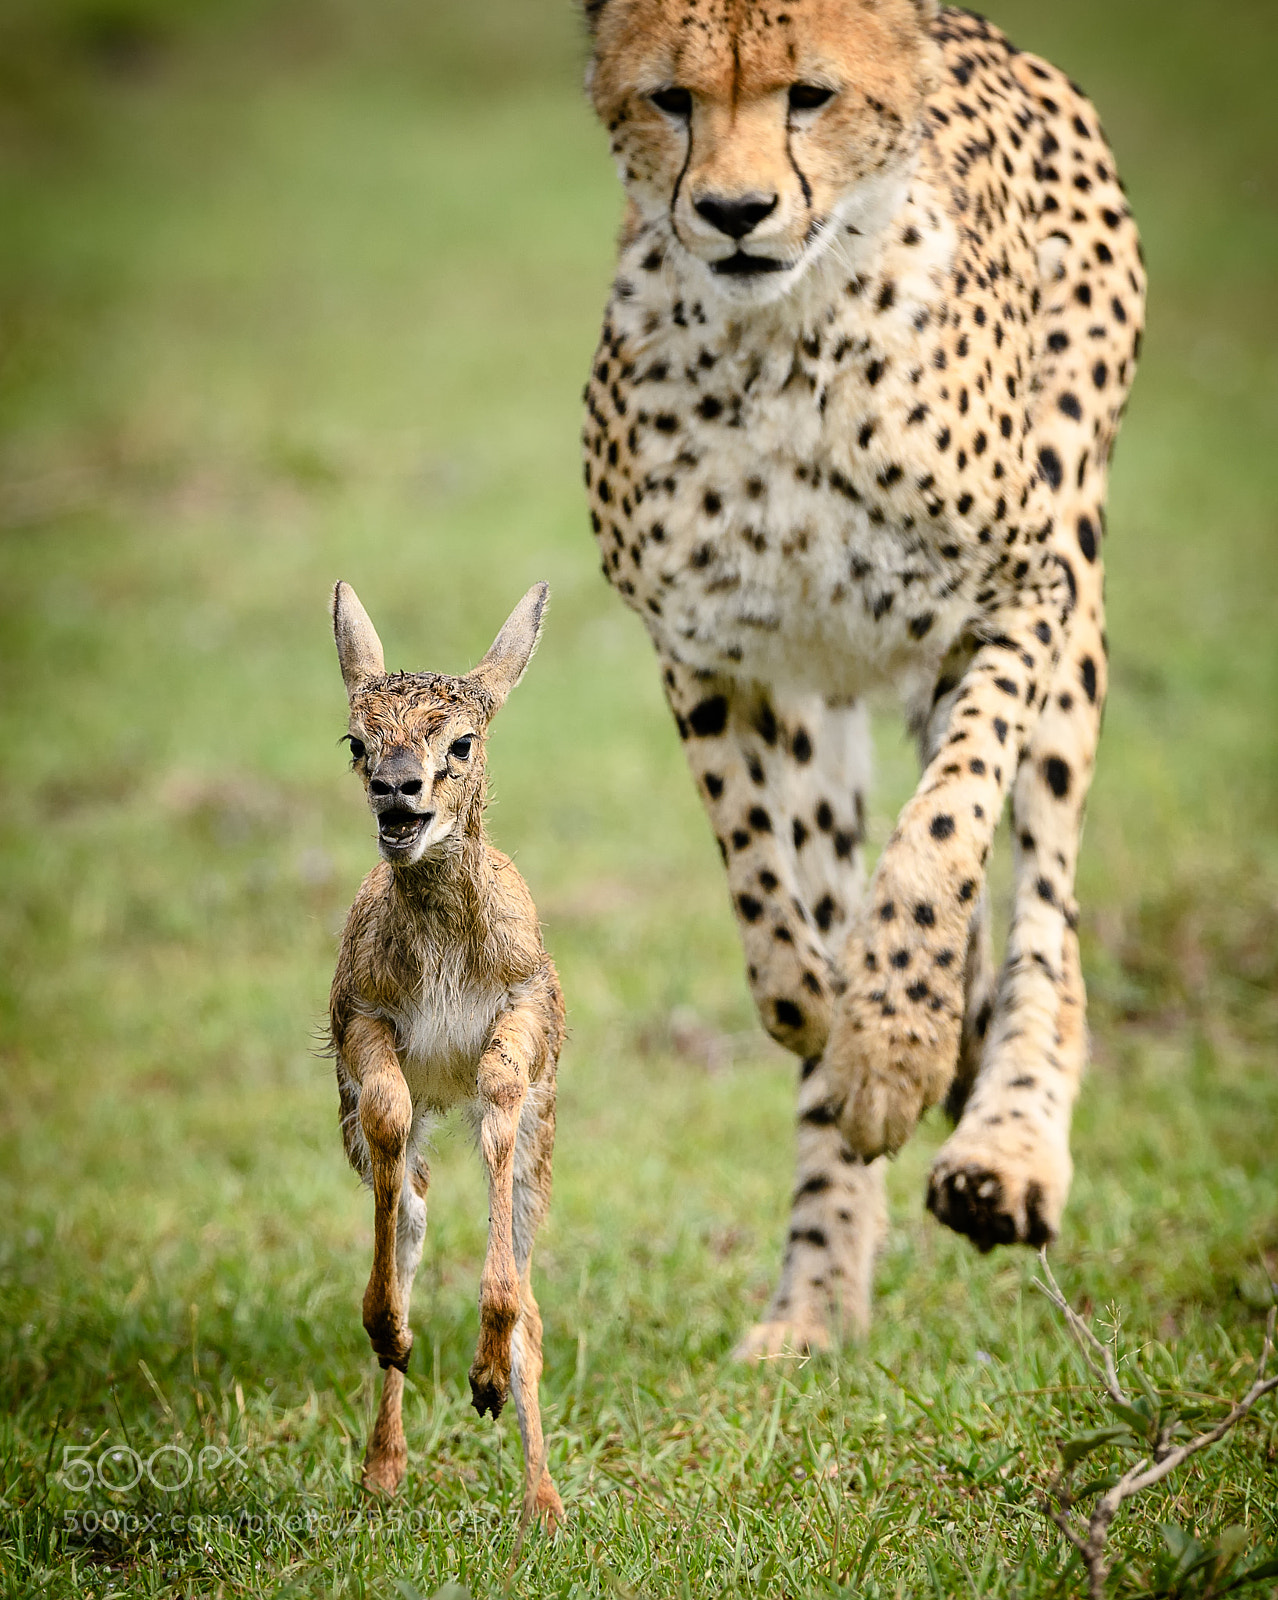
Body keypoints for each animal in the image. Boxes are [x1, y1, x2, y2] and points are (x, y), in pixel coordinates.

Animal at [579, 0, 1145, 1357]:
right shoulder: (711, 649)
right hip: (827, 705)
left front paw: (898, 1039)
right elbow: (763, 901)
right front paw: (843, 1029)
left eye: (811, 96)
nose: (734, 212)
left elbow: (943, 832)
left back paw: (1003, 1146)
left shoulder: (1017, 603)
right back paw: (815, 1302)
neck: (781, 345)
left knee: (1048, 912)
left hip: (1075, 589)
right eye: (670, 99)